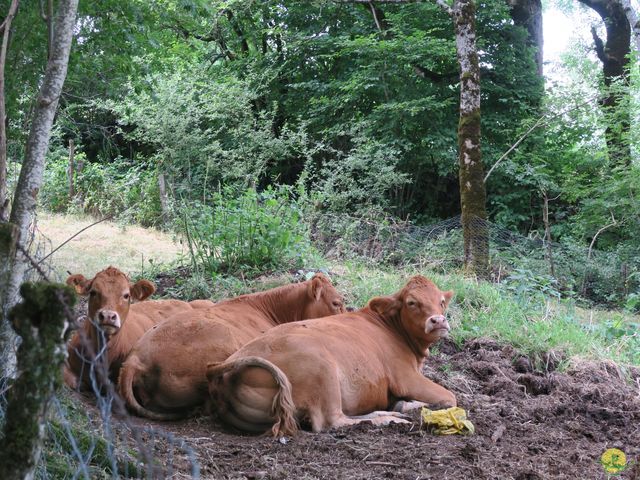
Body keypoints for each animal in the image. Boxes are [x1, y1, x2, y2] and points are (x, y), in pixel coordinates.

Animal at [206, 274, 456, 436]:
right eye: (412, 302)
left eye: (441, 302)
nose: (438, 320)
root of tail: (229, 362)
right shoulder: (405, 377)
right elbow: (450, 396)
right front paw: (405, 406)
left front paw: (401, 404)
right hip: (322, 369)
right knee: (333, 421)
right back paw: (389, 418)